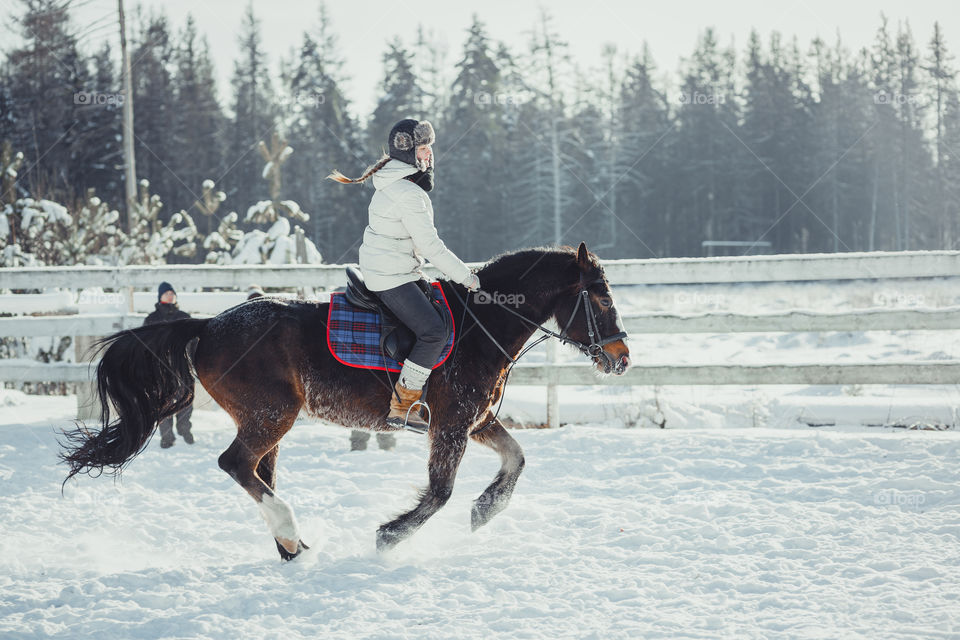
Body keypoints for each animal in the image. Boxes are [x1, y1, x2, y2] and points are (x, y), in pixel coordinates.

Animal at [60, 244, 632, 560]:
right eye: (602, 296)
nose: (622, 356)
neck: (480, 324)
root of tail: (207, 324)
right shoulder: (451, 424)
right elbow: (440, 492)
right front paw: (390, 536)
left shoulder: (476, 420)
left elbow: (516, 458)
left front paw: (486, 510)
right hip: (271, 416)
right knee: (236, 464)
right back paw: (292, 535)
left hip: (267, 422)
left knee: (259, 473)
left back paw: (292, 547)